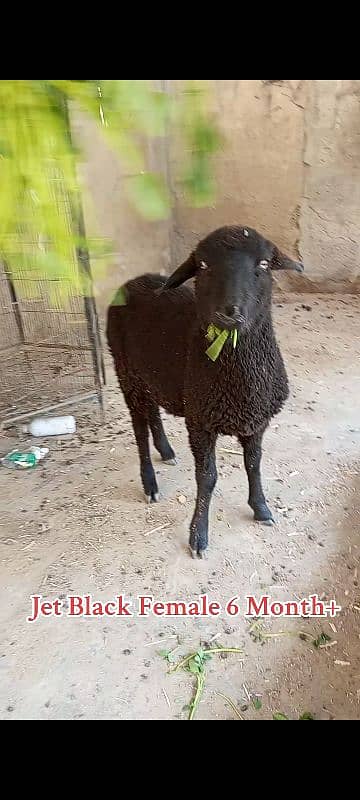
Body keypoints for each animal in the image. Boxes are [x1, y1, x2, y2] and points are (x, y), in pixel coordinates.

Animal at [107, 225, 304, 556]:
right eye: (202, 265)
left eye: (264, 264)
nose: (229, 313)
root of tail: (131, 281)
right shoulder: (200, 422)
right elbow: (208, 477)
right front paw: (198, 535)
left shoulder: (257, 421)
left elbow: (254, 465)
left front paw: (261, 509)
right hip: (127, 373)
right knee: (139, 429)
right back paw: (150, 483)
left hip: (151, 377)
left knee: (153, 414)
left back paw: (166, 451)